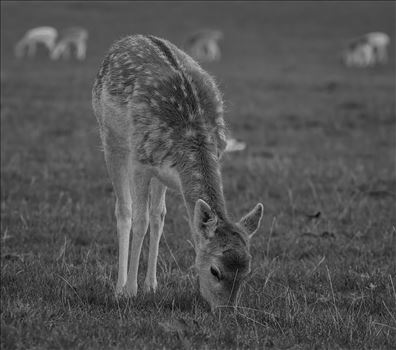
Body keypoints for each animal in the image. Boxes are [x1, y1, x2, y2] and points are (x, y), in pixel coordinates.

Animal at [91, 34, 262, 310]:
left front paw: (149, 286)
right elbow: (140, 220)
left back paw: (151, 284)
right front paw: (130, 291)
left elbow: (158, 217)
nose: (227, 312)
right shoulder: (140, 162)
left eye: (247, 272)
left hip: (158, 174)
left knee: (158, 215)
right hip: (110, 137)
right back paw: (119, 286)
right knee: (124, 210)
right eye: (215, 270)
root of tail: (128, 39)